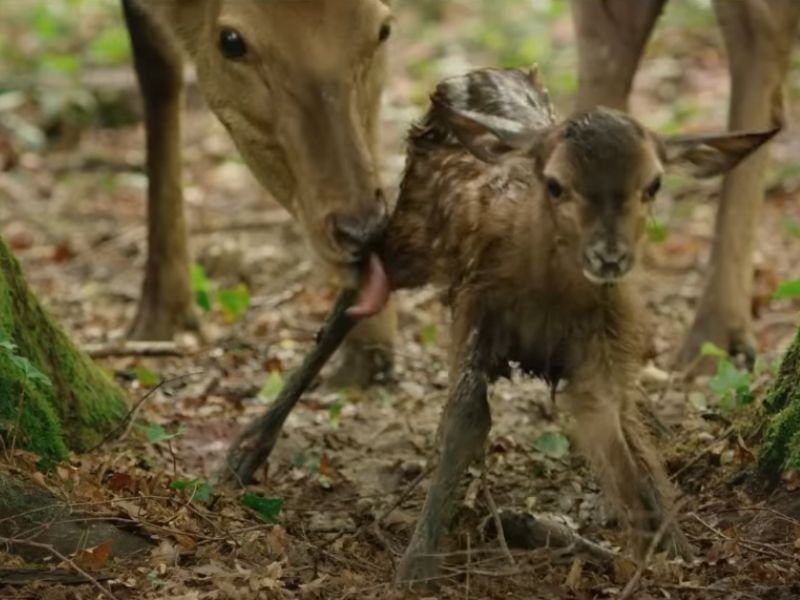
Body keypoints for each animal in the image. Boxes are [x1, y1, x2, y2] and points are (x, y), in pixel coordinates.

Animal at [121, 0, 396, 386]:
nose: (362, 230)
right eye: (231, 41)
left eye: (383, 30)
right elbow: (155, 61)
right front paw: (159, 320)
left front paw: (370, 346)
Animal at [375, 66, 776, 583]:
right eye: (555, 184)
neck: (548, 300)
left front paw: (670, 552)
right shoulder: (477, 308)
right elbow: (465, 415)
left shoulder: (601, 344)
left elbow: (620, 434)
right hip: (407, 235)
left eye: (653, 184)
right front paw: (416, 564)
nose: (610, 257)